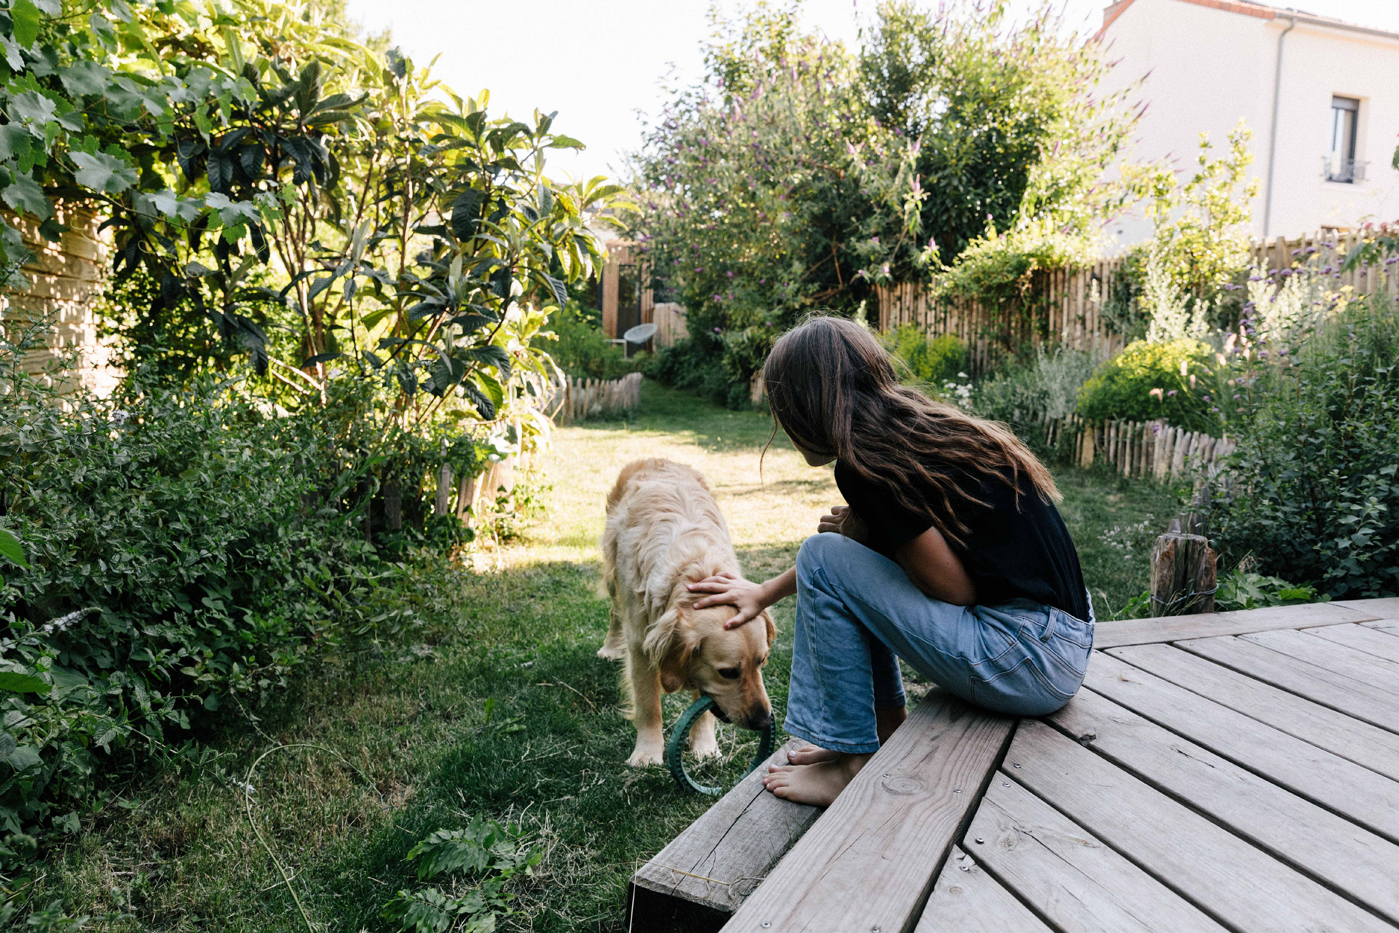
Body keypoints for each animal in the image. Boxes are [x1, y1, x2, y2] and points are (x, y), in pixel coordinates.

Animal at [601, 458, 777, 766]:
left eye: (761, 661)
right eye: (728, 672)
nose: (764, 721)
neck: (697, 569)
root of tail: (655, 459)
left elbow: (703, 705)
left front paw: (705, 747)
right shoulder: (641, 644)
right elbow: (648, 705)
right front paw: (647, 753)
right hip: (614, 577)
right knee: (615, 613)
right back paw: (609, 648)